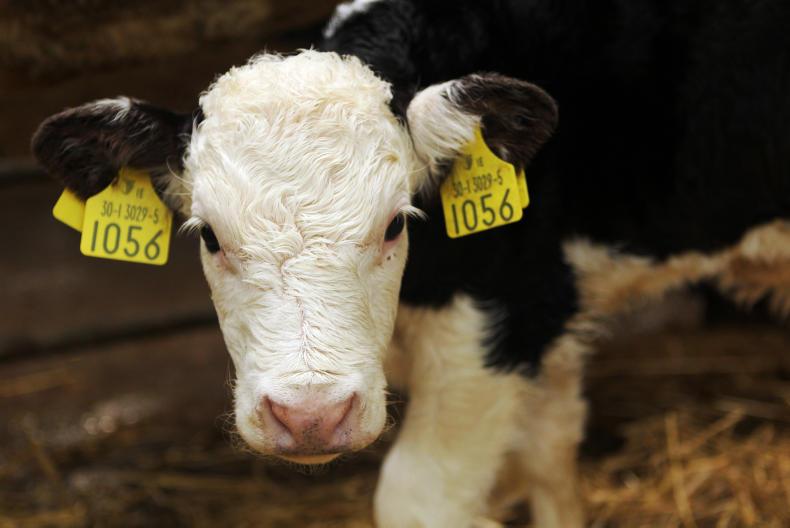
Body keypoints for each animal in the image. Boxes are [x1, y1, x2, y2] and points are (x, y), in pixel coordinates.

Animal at [31, 0, 790, 526]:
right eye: (210, 236)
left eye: (396, 222)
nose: (311, 416)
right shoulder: (545, 319)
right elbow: (548, 451)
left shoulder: (503, 318)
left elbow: (416, 497)